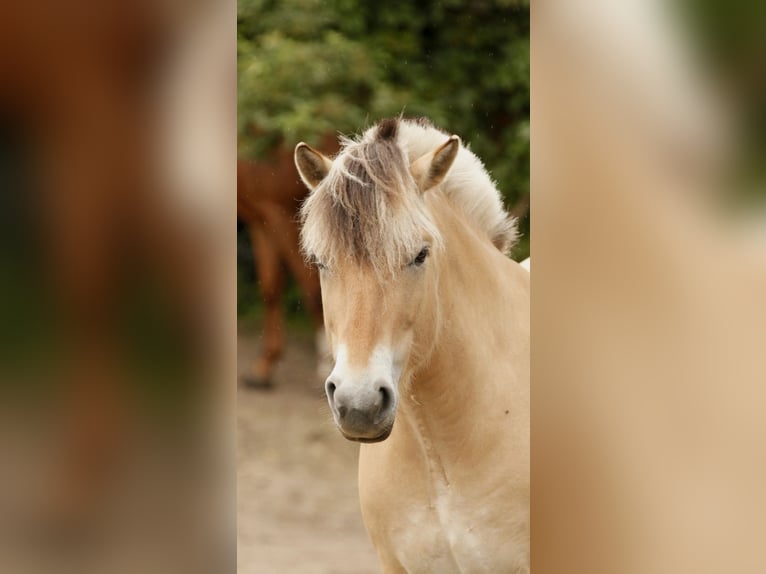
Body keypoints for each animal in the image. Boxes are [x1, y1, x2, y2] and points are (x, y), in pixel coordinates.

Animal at [237, 133, 340, 390]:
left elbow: (313, 292)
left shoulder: (279, 213)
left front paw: (325, 365)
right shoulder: (262, 219)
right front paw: (264, 367)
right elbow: (271, 288)